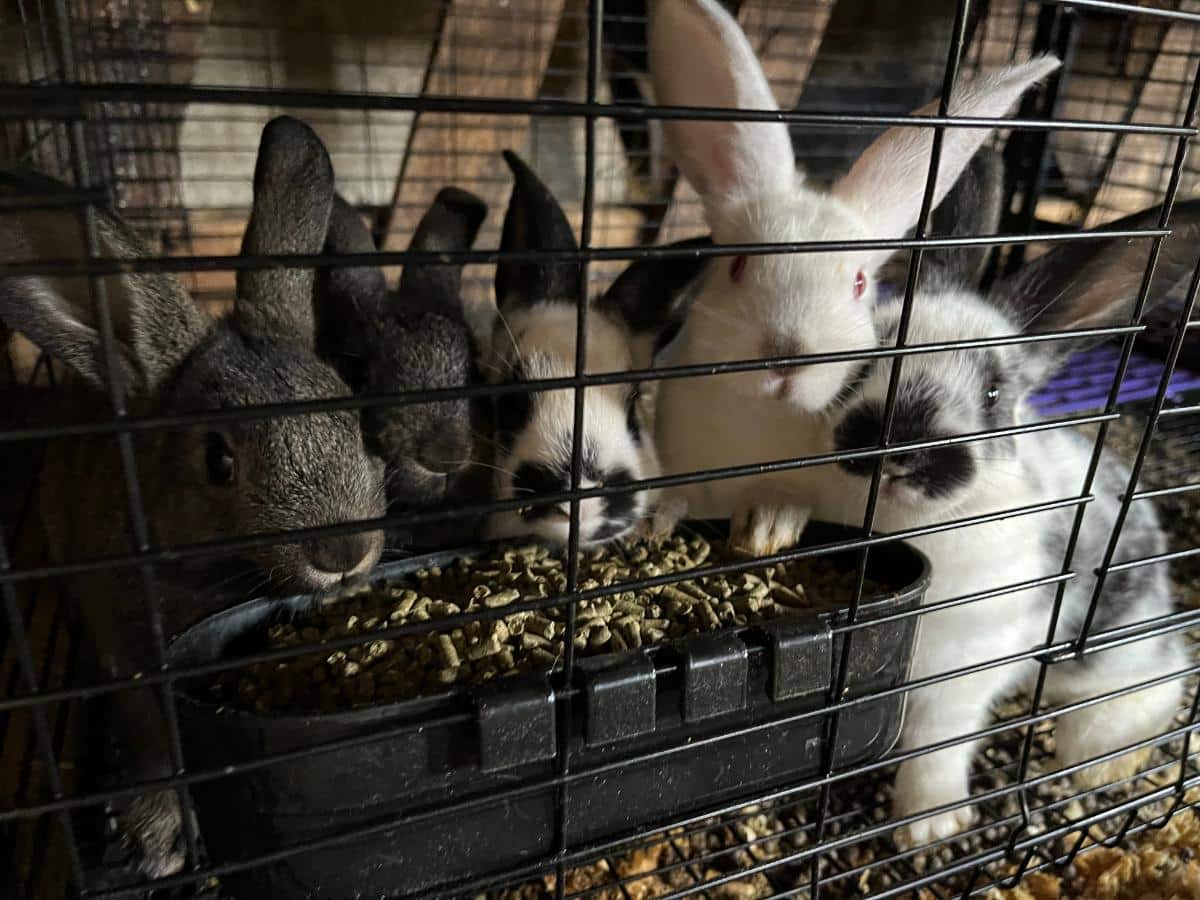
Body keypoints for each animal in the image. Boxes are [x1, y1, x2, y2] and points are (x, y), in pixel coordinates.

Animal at [0, 115, 386, 879]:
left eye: (352, 416)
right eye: (217, 460)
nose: (343, 552)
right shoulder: (126, 642)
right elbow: (154, 732)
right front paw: (159, 835)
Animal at [645, 0, 1059, 546]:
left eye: (859, 284)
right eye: (737, 264)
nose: (787, 355)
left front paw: (772, 523)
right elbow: (678, 496)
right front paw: (659, 519)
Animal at [802, 156, 1200, 846]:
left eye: (993, 395)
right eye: (866, 361)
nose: (902, 448)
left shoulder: (963, 675)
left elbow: (936, 746)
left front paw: (928, 829)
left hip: (1112, 647)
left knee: (1157, 680)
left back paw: (1101, 766)